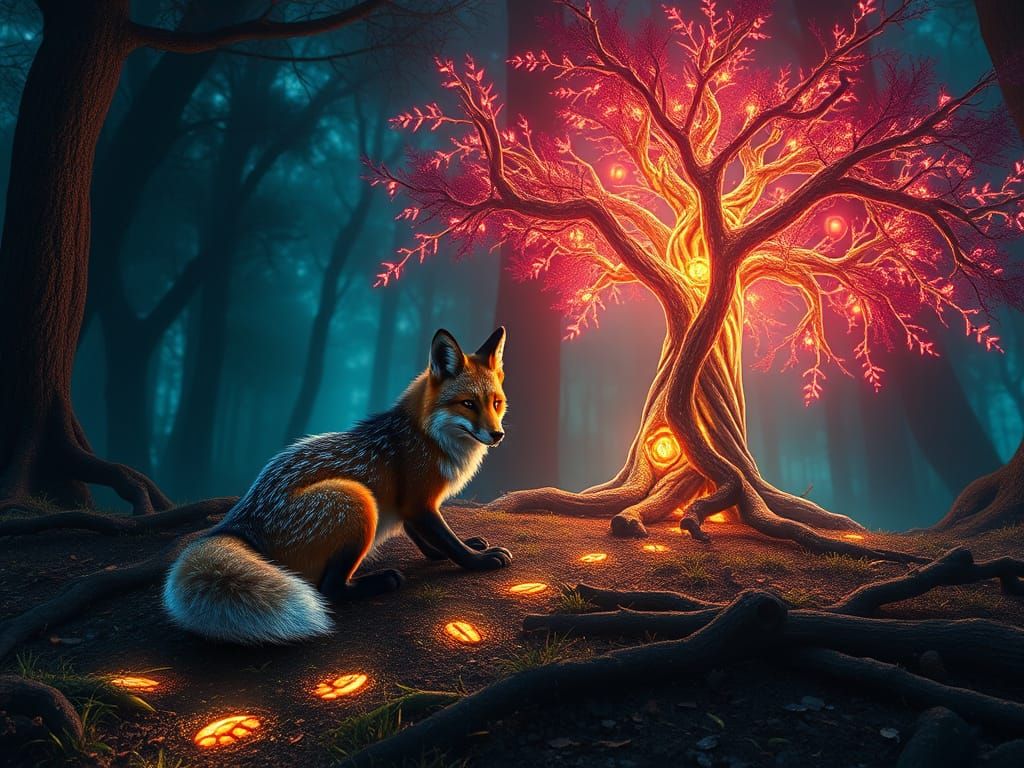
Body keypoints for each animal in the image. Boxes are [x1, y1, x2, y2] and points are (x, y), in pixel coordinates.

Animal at [162, 327, 512, 645]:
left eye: (496, 403)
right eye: (468, 404)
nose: (498, 435)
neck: (428, 436)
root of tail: (235, 524)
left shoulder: (411, 506)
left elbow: (427, 538)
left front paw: (451, 551)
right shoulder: (418, 503)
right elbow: (449, 541)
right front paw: (478, 560)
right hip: (356, 498)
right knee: (328, 590)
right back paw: (382, 581)